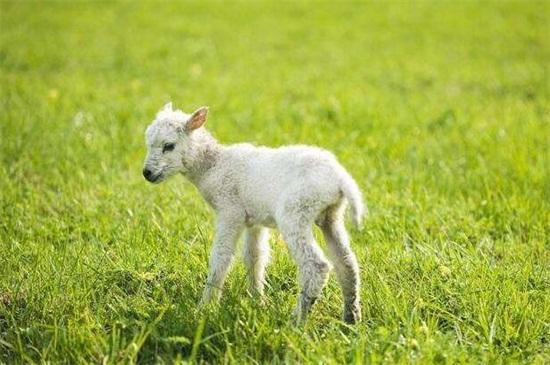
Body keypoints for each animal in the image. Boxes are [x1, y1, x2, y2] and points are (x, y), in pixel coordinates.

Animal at [142, 101, 366, 322]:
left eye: (169, 146)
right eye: (148, 144)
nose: (146, 173)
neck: (213, 166)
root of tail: (340, 178)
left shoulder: (230, 211)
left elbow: (221, 257)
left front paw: (205, 307)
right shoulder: (254, 219)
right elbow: (255, 257)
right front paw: (257, 301)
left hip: (295, 211)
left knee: (316, 266)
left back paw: (296, 320)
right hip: (331, 215)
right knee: (346, 262)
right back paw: (351, 318)